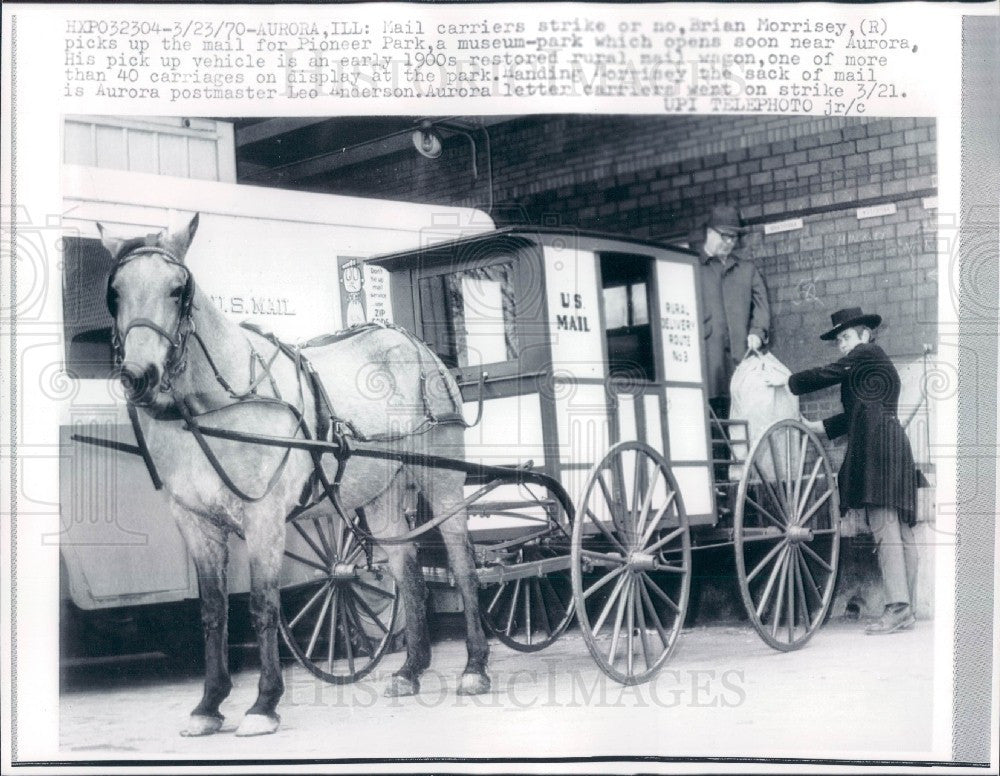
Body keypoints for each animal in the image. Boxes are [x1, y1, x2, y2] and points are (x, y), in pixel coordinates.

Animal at [99, 215, 490, 736]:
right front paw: (208, 704)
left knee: (462, 562)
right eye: (115, 292)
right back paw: (410, 671)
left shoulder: (263, 518)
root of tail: (412, 343)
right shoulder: (195, 522)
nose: (139, 375)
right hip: (379, 494)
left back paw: (475, 667)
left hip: (442, 481)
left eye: (179, 290)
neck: (214, 406)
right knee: (407, 570)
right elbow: (212, 611)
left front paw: (263, 704)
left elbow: (263, 606)